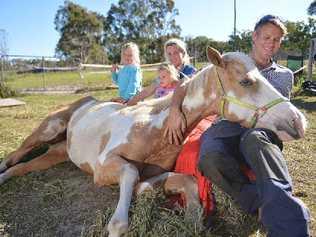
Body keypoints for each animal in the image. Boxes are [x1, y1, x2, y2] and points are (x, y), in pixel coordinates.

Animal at [0, 47, 306, 236]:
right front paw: (118, 225)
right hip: (47, 129)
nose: (298, 121)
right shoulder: (103, 168)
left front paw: (191, 216)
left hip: (57, 153)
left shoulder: (152, 175)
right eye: (245, 82)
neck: (154, 131)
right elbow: (128, 180)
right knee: (14, 156)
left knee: (21, 167)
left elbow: (178, 182)